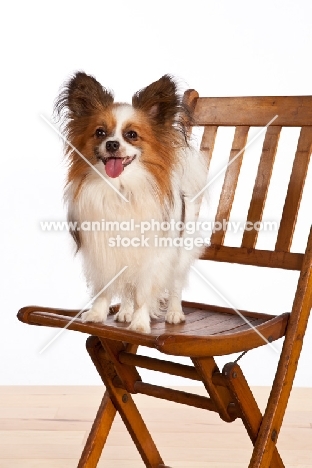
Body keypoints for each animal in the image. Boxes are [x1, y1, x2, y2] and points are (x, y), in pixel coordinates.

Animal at [56, 72, 207, 332]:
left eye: (132, 135)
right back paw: (124, 312)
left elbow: (143, 293)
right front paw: (97, 315)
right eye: (100, 133)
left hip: (181, 250)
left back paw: (174, 313)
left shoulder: (152, 256)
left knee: (175, 284)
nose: (112, 144)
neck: (120, 188)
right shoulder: (104, 250)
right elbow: (106, 288)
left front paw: (139, 323)